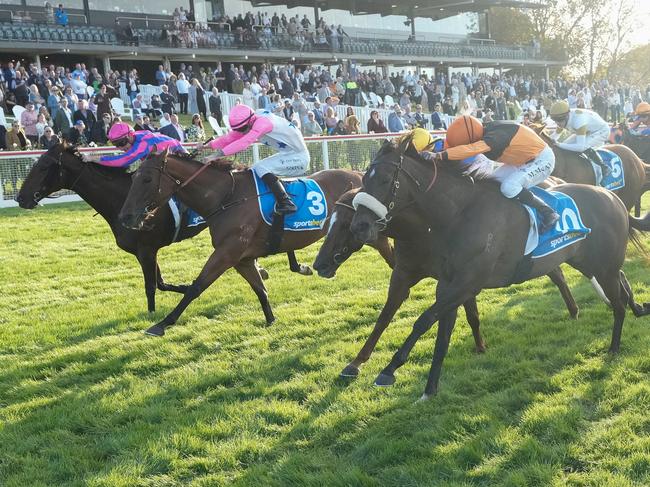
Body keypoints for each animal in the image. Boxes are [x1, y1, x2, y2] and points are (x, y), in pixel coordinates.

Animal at [116, 151, 390, 338]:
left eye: (147, 179)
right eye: (134, 178)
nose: (125, 216)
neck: (227, 197)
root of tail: (359, 175)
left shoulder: (227, 252)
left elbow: (196, 287)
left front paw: (162, 324)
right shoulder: (242, 258)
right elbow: (261, 289)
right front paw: (271, 320)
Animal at [312, 187, 576, 378]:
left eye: (345, 224)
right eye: (331, 221)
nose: (319, 264)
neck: (422, 232)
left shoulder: (460, 280)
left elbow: (460, 313)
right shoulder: (405, 274)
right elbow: (384, 317)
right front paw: (356, 362)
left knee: (557, 273)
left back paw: (573, 310)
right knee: (557, 272)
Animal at [350, 137, 648, 400]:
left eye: (385, 180)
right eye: (363, 179)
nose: (360, 226)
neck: (459, 214)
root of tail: (614, 199)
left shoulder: (467, 282)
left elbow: (424, 320)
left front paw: (388, 370)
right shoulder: (448, 284)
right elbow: (442, 336)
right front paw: (429, 389)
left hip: (604, 265)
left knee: (618, 303)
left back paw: (614, 348)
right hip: (587, 261)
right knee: (620, 284)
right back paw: (637, 308)